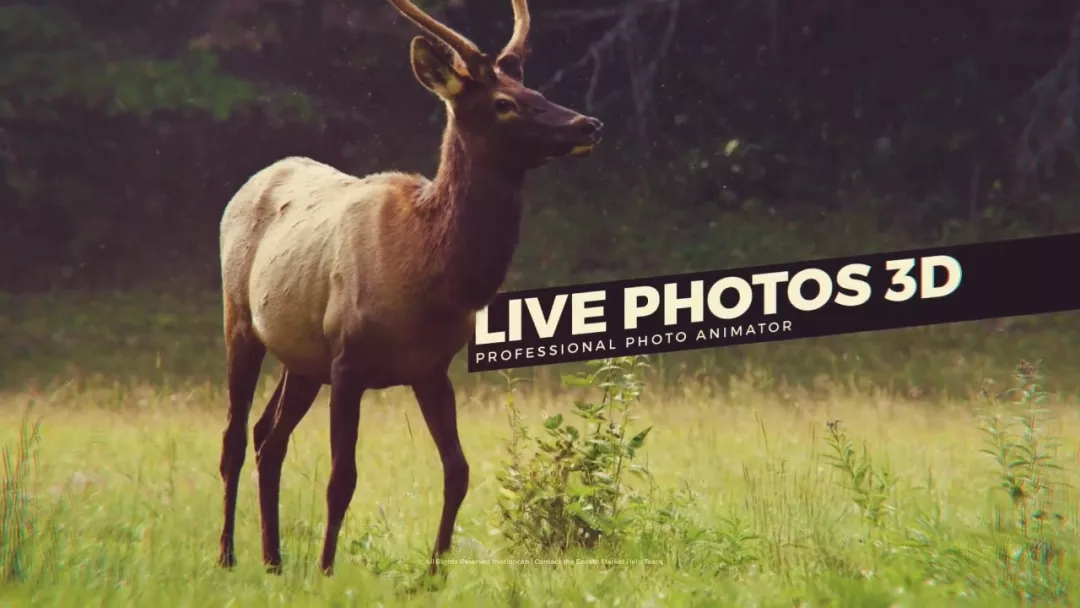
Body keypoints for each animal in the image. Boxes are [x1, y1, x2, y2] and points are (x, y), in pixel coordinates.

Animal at [214, 0, 604, 574]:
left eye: (534, 89)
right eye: (505, 103)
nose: (589, 123)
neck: (425, 274)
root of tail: (248, 183)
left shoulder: (431, 368)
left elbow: (458, 470)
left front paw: (434, 573)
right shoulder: (348, 360)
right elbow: (342, 478)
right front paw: (327, 571)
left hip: (302, 359)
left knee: (269, 437)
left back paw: (274, 559)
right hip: (240, 320)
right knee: (235, 439)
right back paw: (228, 556)